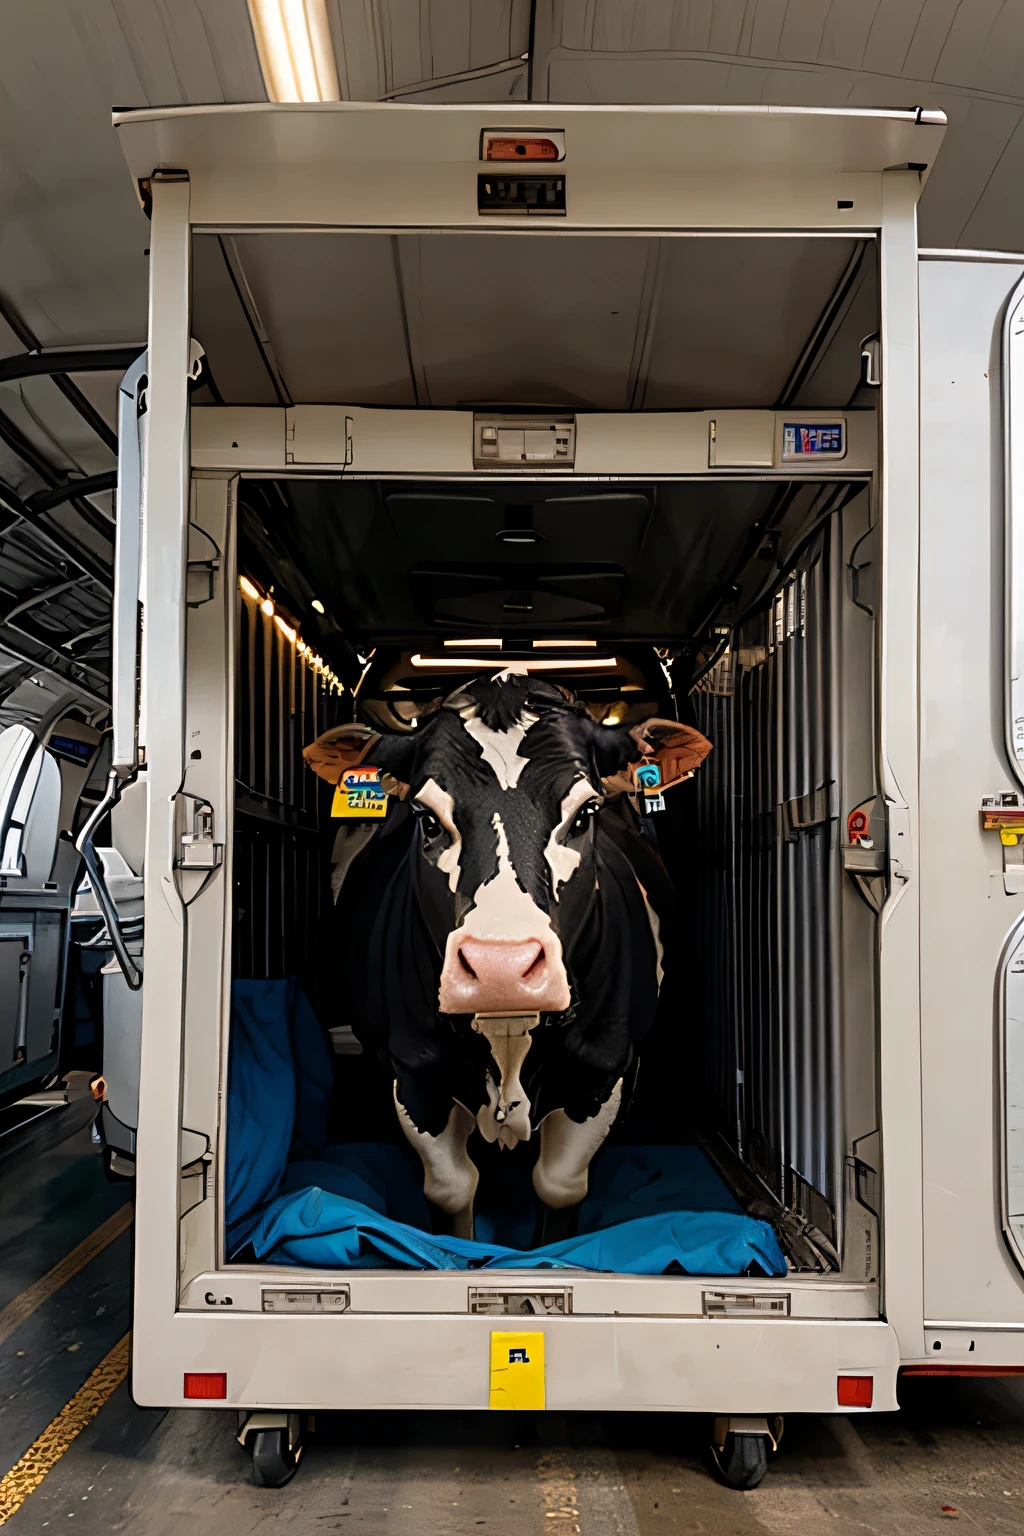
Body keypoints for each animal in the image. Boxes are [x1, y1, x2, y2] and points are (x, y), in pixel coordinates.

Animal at [300, 666, 709, 1241]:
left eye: (586, 813)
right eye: (427, 819)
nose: (501, 968)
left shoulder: (602, 1069)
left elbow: (559, 1185)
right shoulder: (414, 1073)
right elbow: (452, 1189)